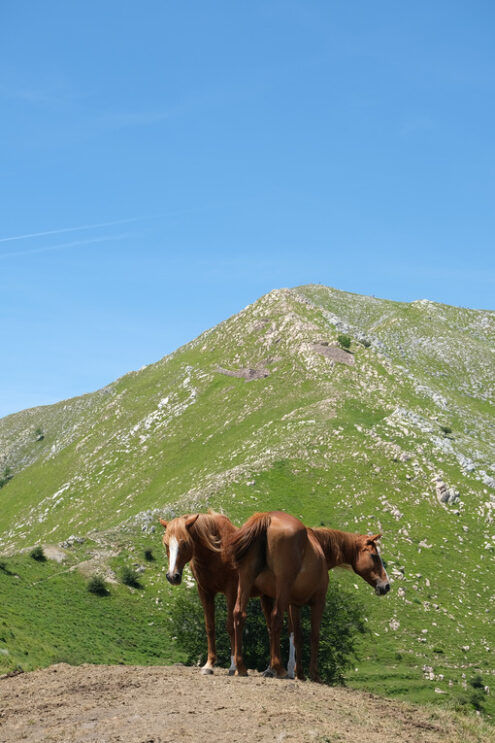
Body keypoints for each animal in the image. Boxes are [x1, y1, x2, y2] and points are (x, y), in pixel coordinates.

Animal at [160, 516, 239, 676]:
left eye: (184, 542)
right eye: (165, 543)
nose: (172, 576)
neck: (216, 552)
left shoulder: (231, 591)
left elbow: (231, 626)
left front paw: (233, 666)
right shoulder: (204, 592)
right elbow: (210, 627)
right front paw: (209, 665)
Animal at [230, 516, 392, 684]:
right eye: (374, 556)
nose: (386, 585)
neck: (320, 546)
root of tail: (268, 518)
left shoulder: (291, 604)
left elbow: (297, 637)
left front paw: (298, 673)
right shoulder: (318, 602)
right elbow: (314, 635)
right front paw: (314, 674)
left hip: (246, 581)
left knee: (240, 614)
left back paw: (242, 667)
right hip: (281, 589)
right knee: (275, 618)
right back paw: (279, 669)